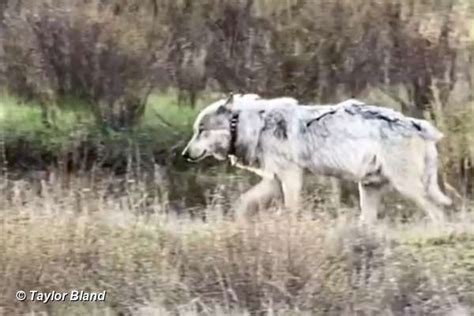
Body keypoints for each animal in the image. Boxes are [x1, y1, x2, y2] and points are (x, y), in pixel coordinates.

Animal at [181, 93, 452, 222]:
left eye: (201, 131)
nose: (185, 154)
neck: (251, 124)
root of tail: (420, 126)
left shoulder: (291, 176)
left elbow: (291, 209)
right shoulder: (274, 180)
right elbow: (243, 202)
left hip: (406, 188)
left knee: (438, 212)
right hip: (368, 188)